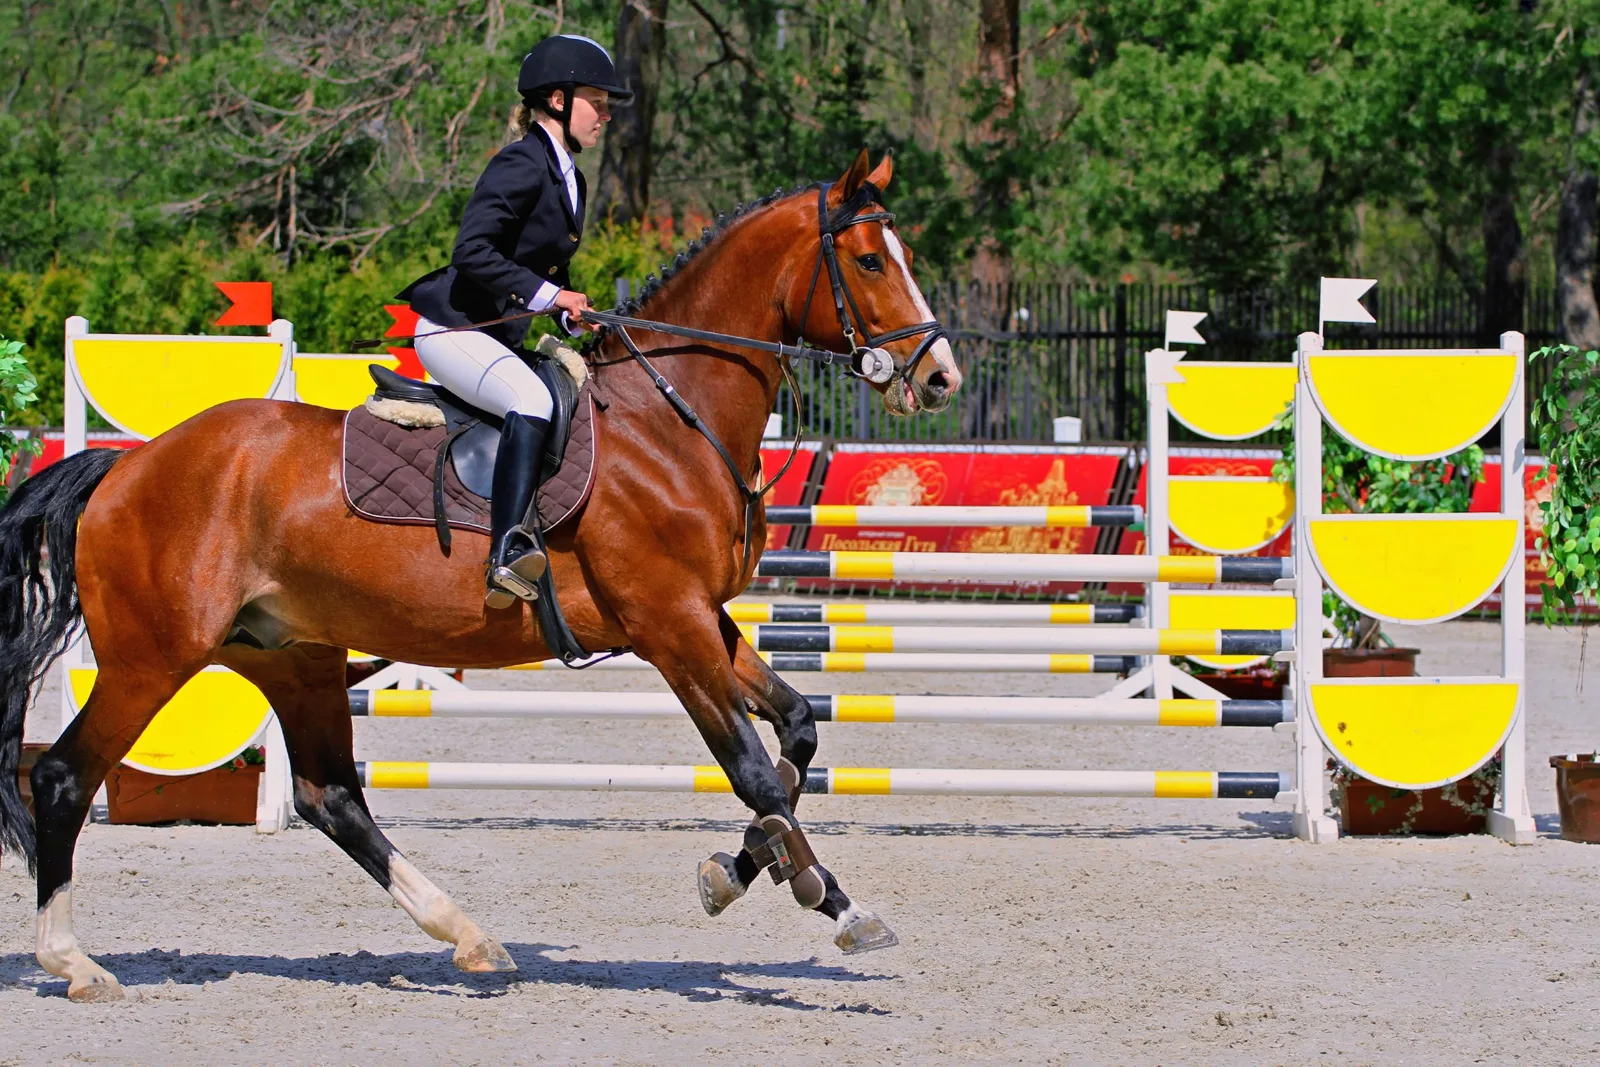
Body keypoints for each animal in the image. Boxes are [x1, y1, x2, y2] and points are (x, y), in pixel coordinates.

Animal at [0, 150, 963, 1002]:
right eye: (870, 260)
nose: (939, 376)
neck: (669, 418)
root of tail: (125, 466)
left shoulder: (701, 617)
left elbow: (796, 733)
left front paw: (734, 873)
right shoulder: (669, 624)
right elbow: (757, 772)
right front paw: (839, 906)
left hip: (292, 654)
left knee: (331, 796)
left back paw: (468, 936)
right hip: (154, 656)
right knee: (63, 776)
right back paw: (73, 962)